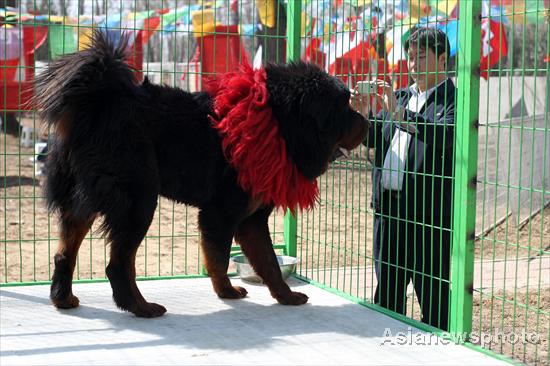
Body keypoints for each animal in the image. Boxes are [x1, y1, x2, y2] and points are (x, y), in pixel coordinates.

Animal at [36, 31, 368, 318]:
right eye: (344, 108)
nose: (367, 122)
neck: (277, 123)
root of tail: (97, 102)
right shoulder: (223, 213)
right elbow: (221, 258)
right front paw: (228, 293)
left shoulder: (251, 219)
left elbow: (268, 263)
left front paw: (284, 296)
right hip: (138, 201)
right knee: (118, 264)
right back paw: (141, 307)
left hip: (86, 200)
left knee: (64, 252)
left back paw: (62, 298)